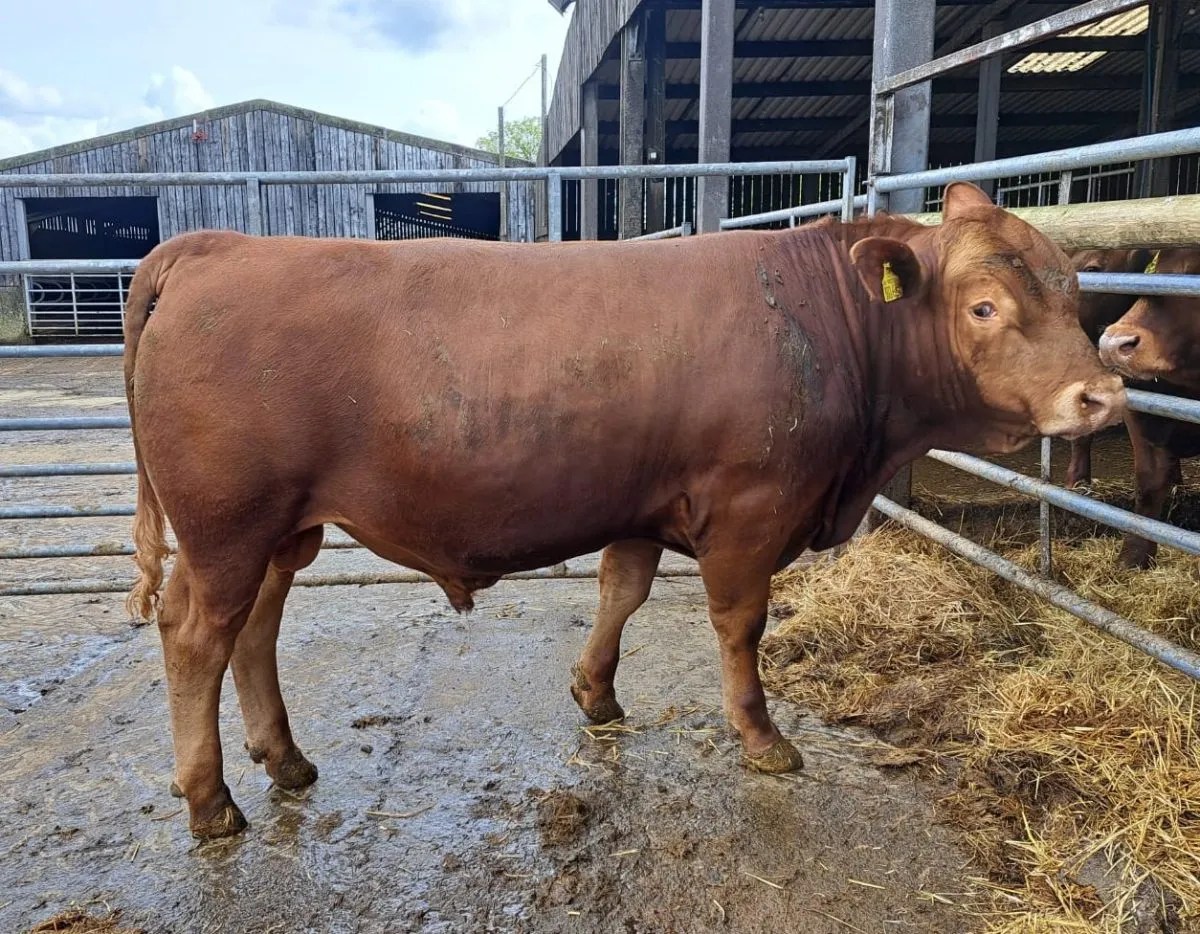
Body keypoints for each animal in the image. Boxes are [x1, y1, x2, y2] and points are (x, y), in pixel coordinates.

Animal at [122, 182, 1124, 839]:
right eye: (984, 306)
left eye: (1074, 293)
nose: (1102, 395)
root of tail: (216, 244)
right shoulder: (753, 507)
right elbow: (739, 625)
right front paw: (763, 737)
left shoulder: (644, 504)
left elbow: (622, 592)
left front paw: (596, 695)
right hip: (225, 527)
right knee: (196, 636)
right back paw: (211, 802)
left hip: (280, 530)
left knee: (255, 629)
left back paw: (285, 758)